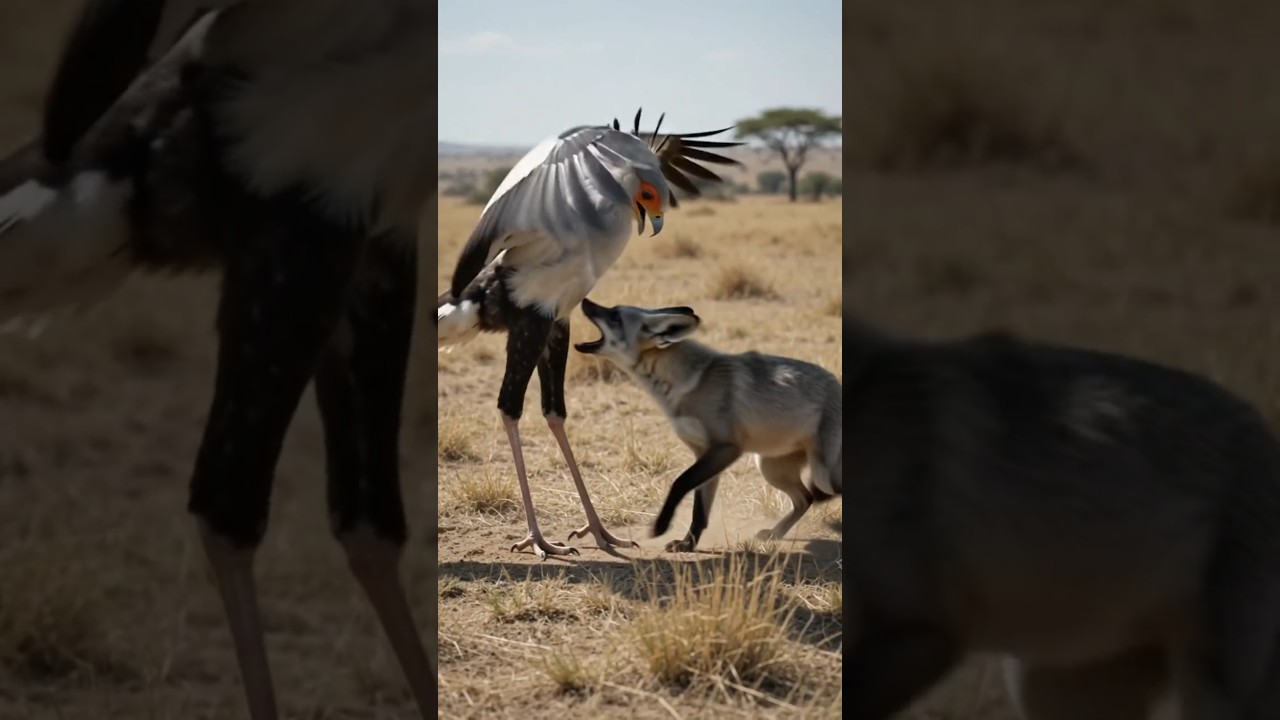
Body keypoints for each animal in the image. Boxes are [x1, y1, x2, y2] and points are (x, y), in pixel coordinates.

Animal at [572, 298, 842, 552]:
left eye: (615, 315)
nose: (585, 301)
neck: (688, 385)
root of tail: (837, 383)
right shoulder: (704, 453)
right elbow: (699, 512)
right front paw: (687, 545)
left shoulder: (725, 449)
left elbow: (679, 483)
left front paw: (661, 526)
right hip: (770, 468)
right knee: (805, 499)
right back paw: (775, 533)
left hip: (820, 473)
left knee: (822, 493)